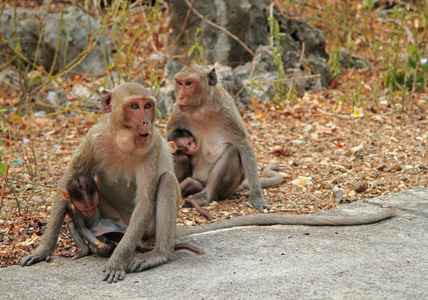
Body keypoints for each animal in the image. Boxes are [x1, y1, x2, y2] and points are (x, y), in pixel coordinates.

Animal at [18, 81, 400, 282]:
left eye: (148, 105)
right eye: (133, 106)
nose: (146, 121)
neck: (126, 141)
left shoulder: (151, 149)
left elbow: (147, 198)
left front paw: (117, 262)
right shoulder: (93, 139)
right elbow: (67, 181)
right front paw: (42, 250)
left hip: (143, 228)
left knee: (166, 184)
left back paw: (156, 253)